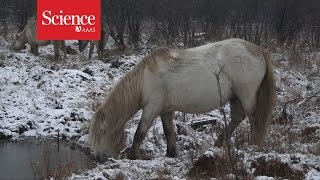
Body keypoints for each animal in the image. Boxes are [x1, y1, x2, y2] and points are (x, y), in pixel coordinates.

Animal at [89, 38, 276, 160]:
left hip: (246, 96)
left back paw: (253, 145)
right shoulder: (165, 111)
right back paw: (218, 143)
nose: (98, 157)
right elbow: (169, 131)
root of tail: (258, 50)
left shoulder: (151, 108)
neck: (145, 80)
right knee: (237, 118)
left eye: (102, 131)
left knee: (254, 120)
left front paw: (133, 155)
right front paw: (171, 153)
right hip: (235, 97)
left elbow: (139, 133)